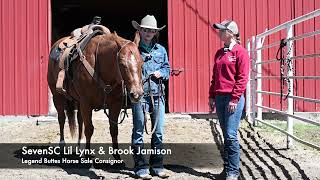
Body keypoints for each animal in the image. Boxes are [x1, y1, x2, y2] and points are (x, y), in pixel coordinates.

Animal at [47, 31, 144, 160]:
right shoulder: (86, 103)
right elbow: (89, 129)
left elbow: (114, 129)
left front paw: (117, 157)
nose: (137, 94)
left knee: (80, 120)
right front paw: (87, 154)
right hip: (57, 96)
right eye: (122, 64)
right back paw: (62, 146)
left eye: (142, 63)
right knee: (61, 119)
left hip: (78, 102)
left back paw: (80, 145)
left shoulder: (115, 103)